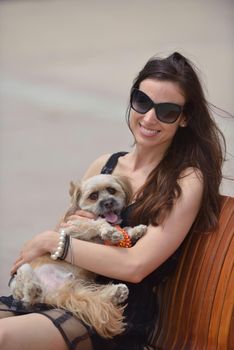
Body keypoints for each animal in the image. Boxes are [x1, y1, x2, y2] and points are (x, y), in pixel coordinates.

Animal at [11, 174, 147, 338]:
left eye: (111, 190)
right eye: (93, 196)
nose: (108, 202)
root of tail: (53, 292)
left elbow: (123, 231)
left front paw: (135, 231)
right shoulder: (74, 227)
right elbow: (96, 222)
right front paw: (110, 231)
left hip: (78, 286)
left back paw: (117, 292)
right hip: (21, 276)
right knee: (29, 293)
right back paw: (33, 288)